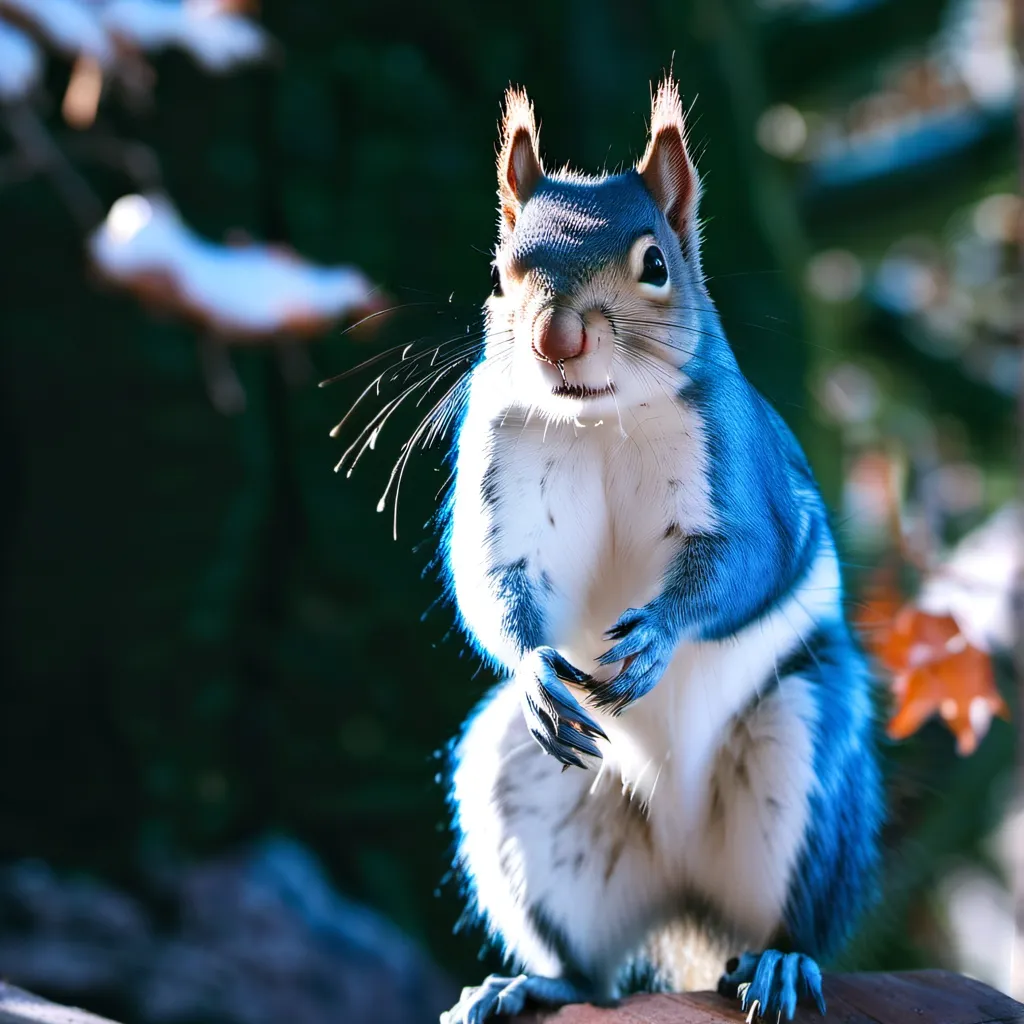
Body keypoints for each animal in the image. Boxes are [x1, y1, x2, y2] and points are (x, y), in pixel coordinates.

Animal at [423, 79, 884, 1024]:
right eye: (499, 272)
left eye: (656, 264)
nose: (555, 338)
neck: (599, 415)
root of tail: (687, 891)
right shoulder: (498, 459)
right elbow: (492, 579)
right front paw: (535, 667)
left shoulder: (742, 465)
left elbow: (749, 559)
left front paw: (658, 638)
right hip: (524, 783)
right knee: (591, 974)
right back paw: (531, 983)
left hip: (806, 753)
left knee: (795, 919)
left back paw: (780, 964)